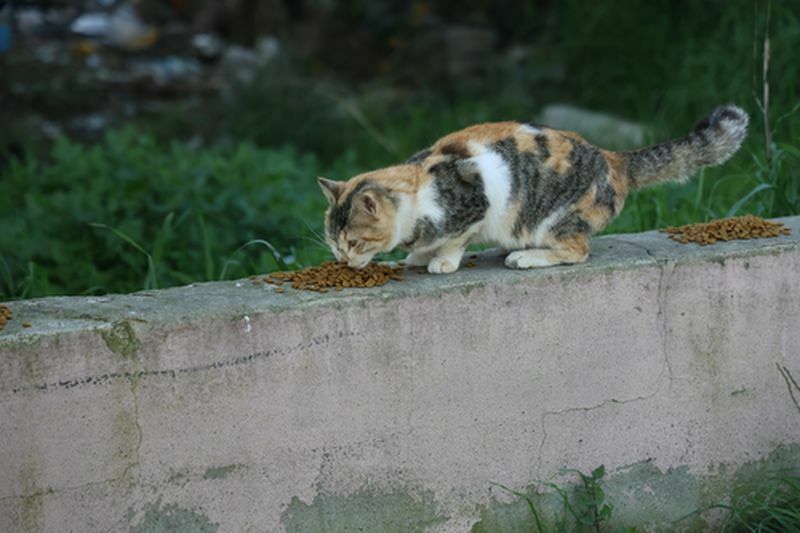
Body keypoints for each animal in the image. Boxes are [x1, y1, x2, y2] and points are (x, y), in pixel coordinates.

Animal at [318, 103, 752, 272]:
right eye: (335, 244)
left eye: (353, 242)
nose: (342, 260)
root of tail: (612, 158)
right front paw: (419, 256)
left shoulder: (476, 204)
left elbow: (455, 239)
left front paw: (440, 261)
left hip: (557, 218)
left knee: (576, 251)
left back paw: (525, 257)